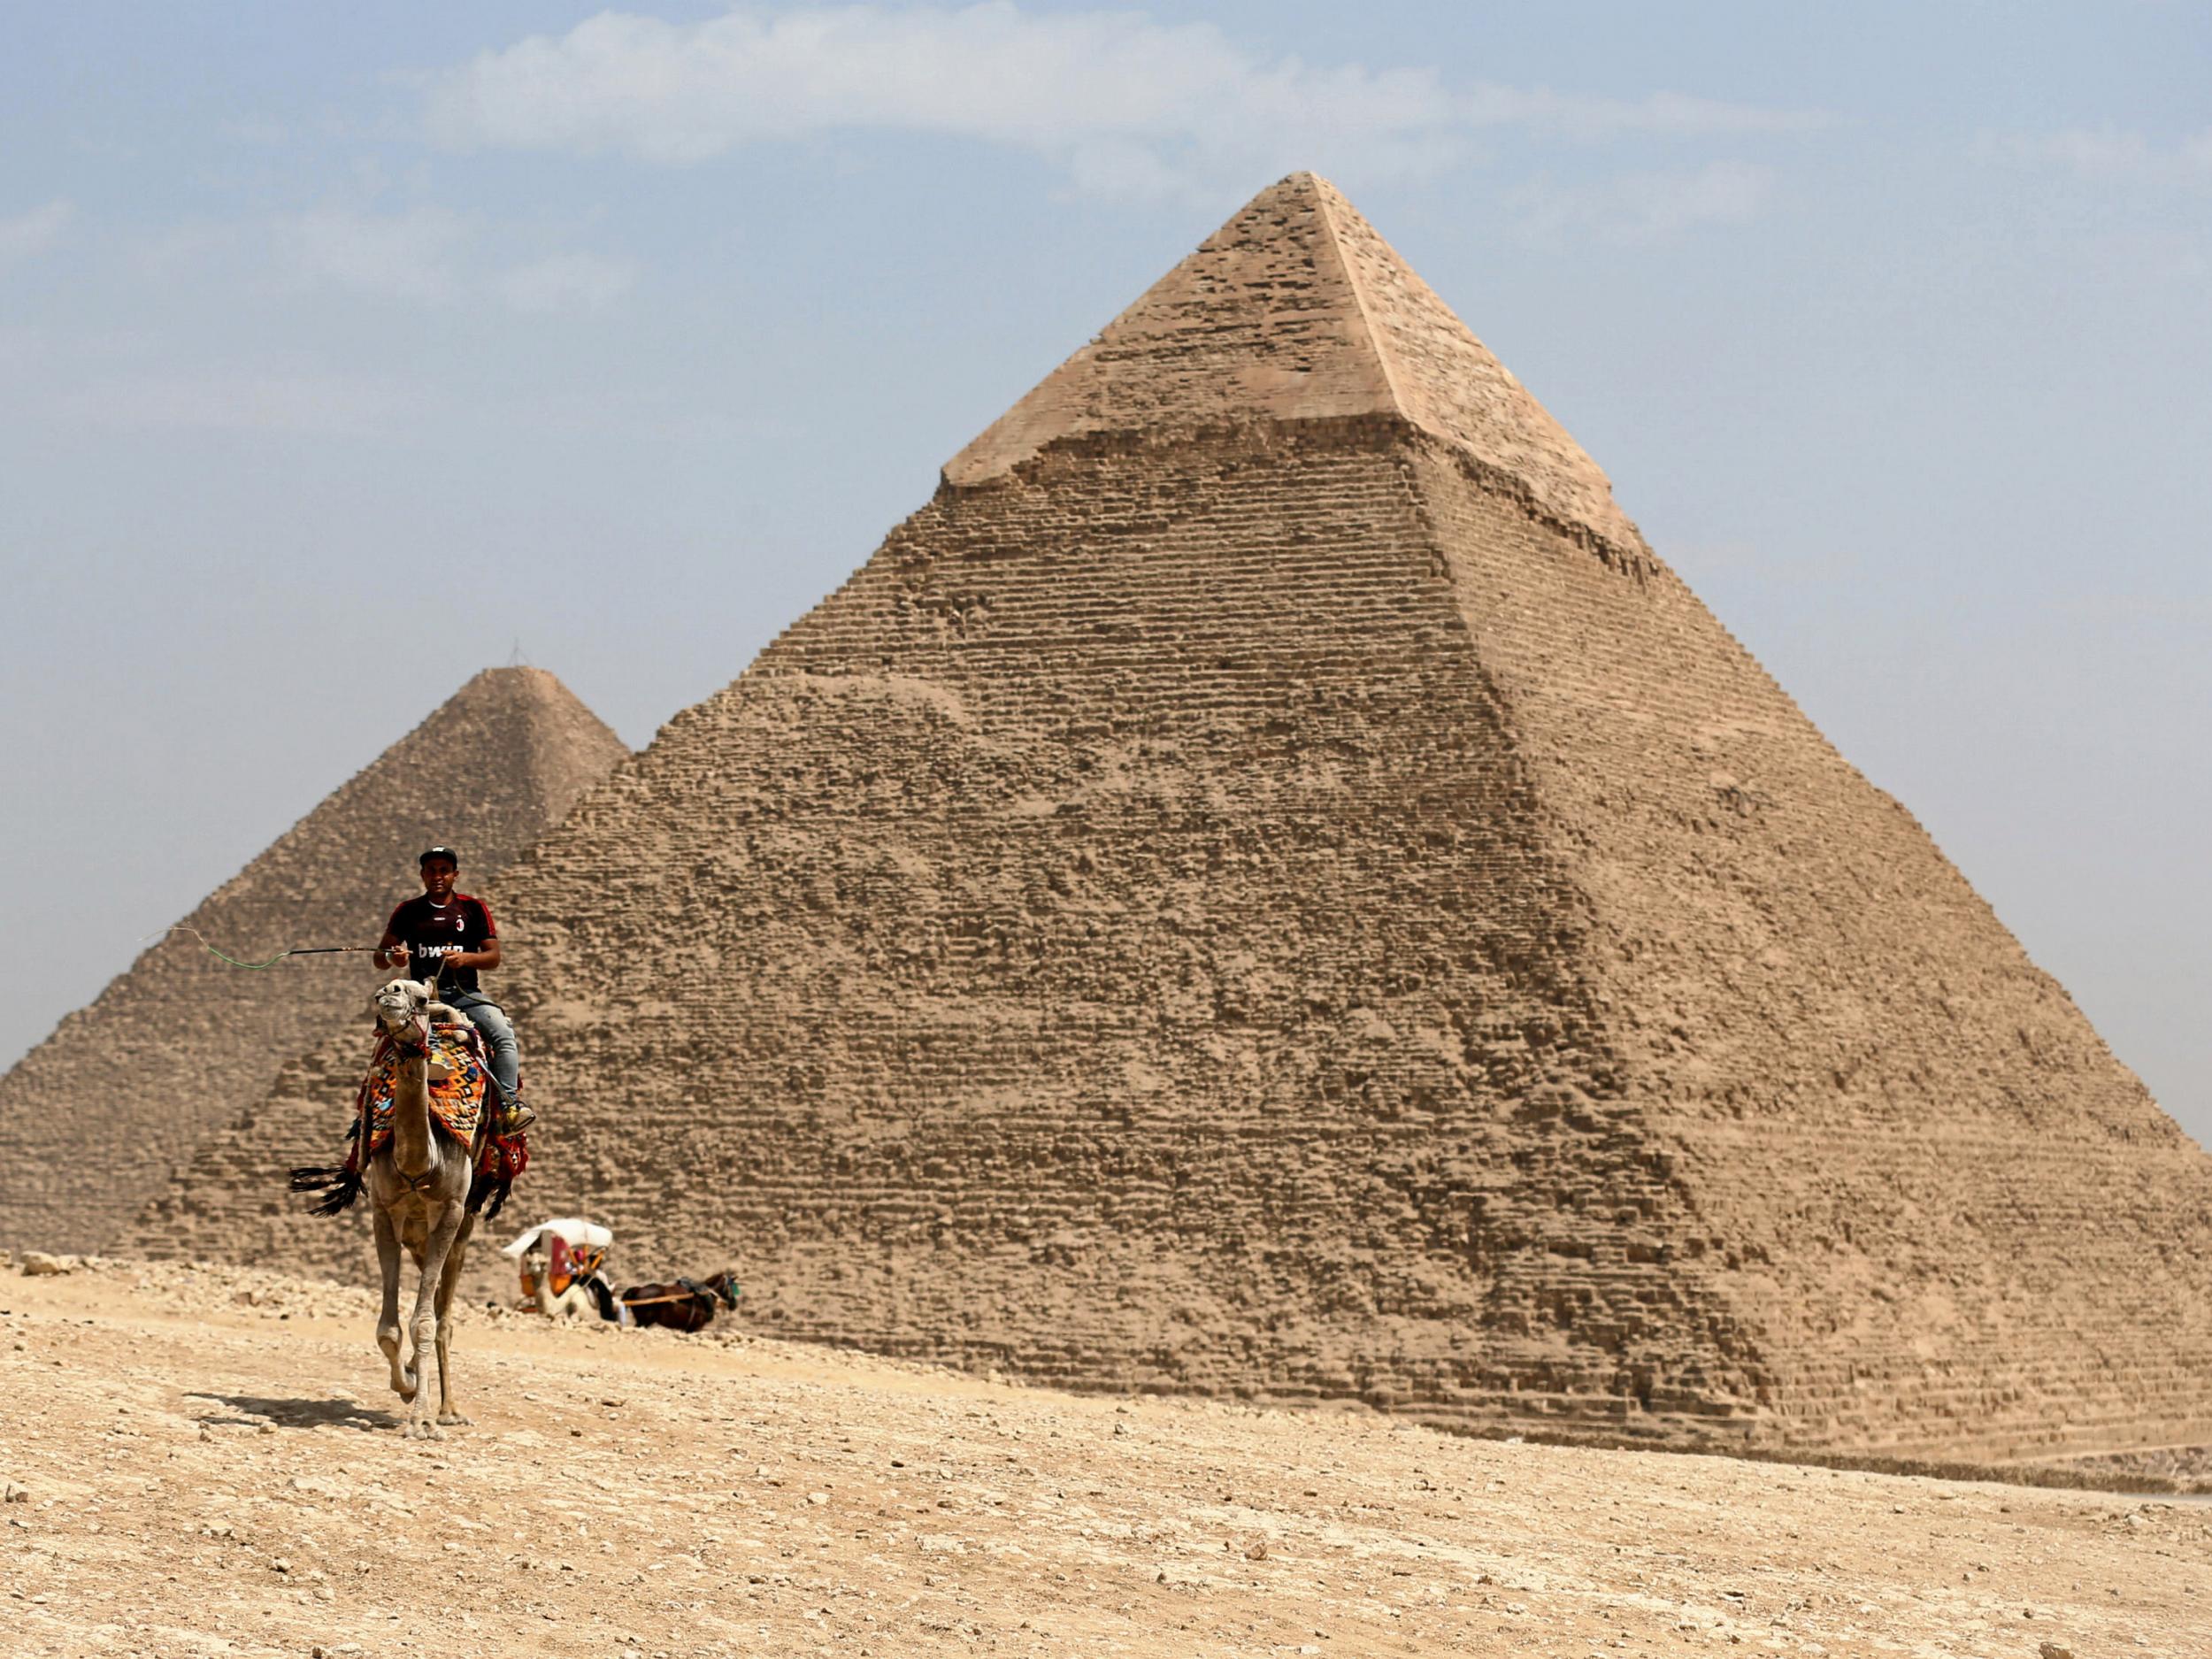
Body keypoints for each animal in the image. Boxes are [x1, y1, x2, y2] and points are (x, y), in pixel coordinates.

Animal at [365, 982, 487, 1433]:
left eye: (419, 999)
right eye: (383, 989)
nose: (390, 994)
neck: (422, 1161)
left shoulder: (449, 1212)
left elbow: (424, 1323)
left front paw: (419, 1418)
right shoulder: (384, 1211)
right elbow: (389, 1329)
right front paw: (407, 1384)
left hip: (462, 1232)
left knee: (444, 1318)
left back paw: (448, 1411)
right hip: (417, 1240)